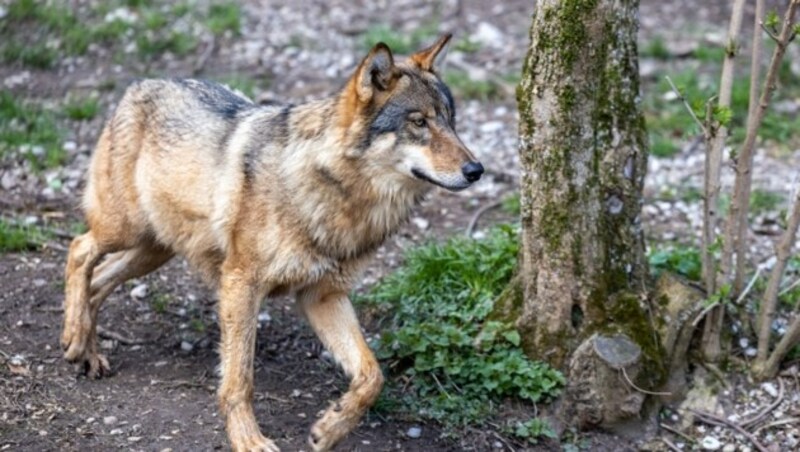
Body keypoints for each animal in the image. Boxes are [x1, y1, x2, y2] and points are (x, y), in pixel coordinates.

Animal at [61, 35, 482, 452]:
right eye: (419, 122)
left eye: (451, 121)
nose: (476, 170)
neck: (336, 194)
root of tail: (140, 84)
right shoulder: (241, 284)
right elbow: (239, 381)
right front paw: (249, 440)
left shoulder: (322, 295)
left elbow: (371, 375)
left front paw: (329, 429)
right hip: (125, 230)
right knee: (79, 250)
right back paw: (73, 339)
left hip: (153, 250)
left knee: (98, 280)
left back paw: (88, 352)